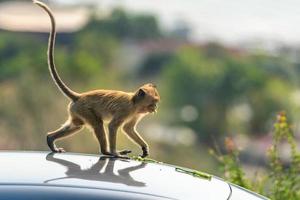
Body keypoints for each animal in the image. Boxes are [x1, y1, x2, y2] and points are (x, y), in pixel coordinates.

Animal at [33, 1, 159, 158]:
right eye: (153, 102)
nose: (155, 108)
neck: (134, 102)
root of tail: (79, 96)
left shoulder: (136, 113)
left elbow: (128, 129)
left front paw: (144, 147)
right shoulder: (126, 110)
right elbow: (113, 126)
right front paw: (115, 152)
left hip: (76, 111)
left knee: (77, 125)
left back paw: (50, 139)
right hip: (85, 109)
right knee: (98, 124)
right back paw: (108, 152)